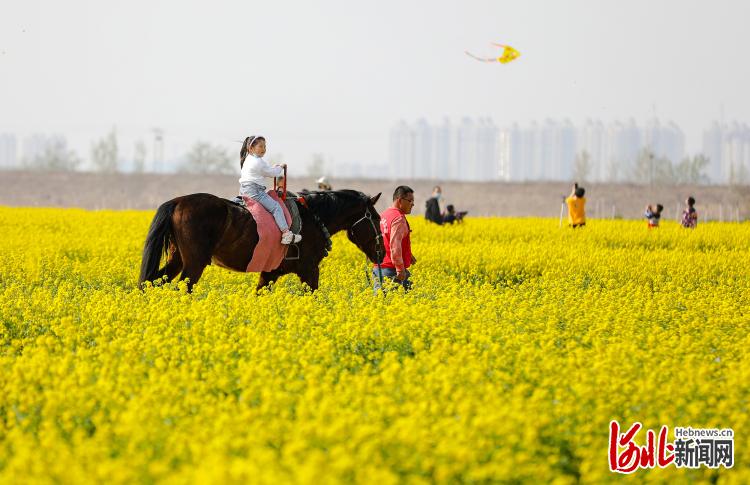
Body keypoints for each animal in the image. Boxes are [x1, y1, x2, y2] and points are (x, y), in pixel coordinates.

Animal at [140, 189, 384, 292]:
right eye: (376, 218)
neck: (313, 217)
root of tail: (179, 201)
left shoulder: (270, 274)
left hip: (177, 260)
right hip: (194, 264)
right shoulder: (309, 270)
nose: (381, 252)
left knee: (151, 281)